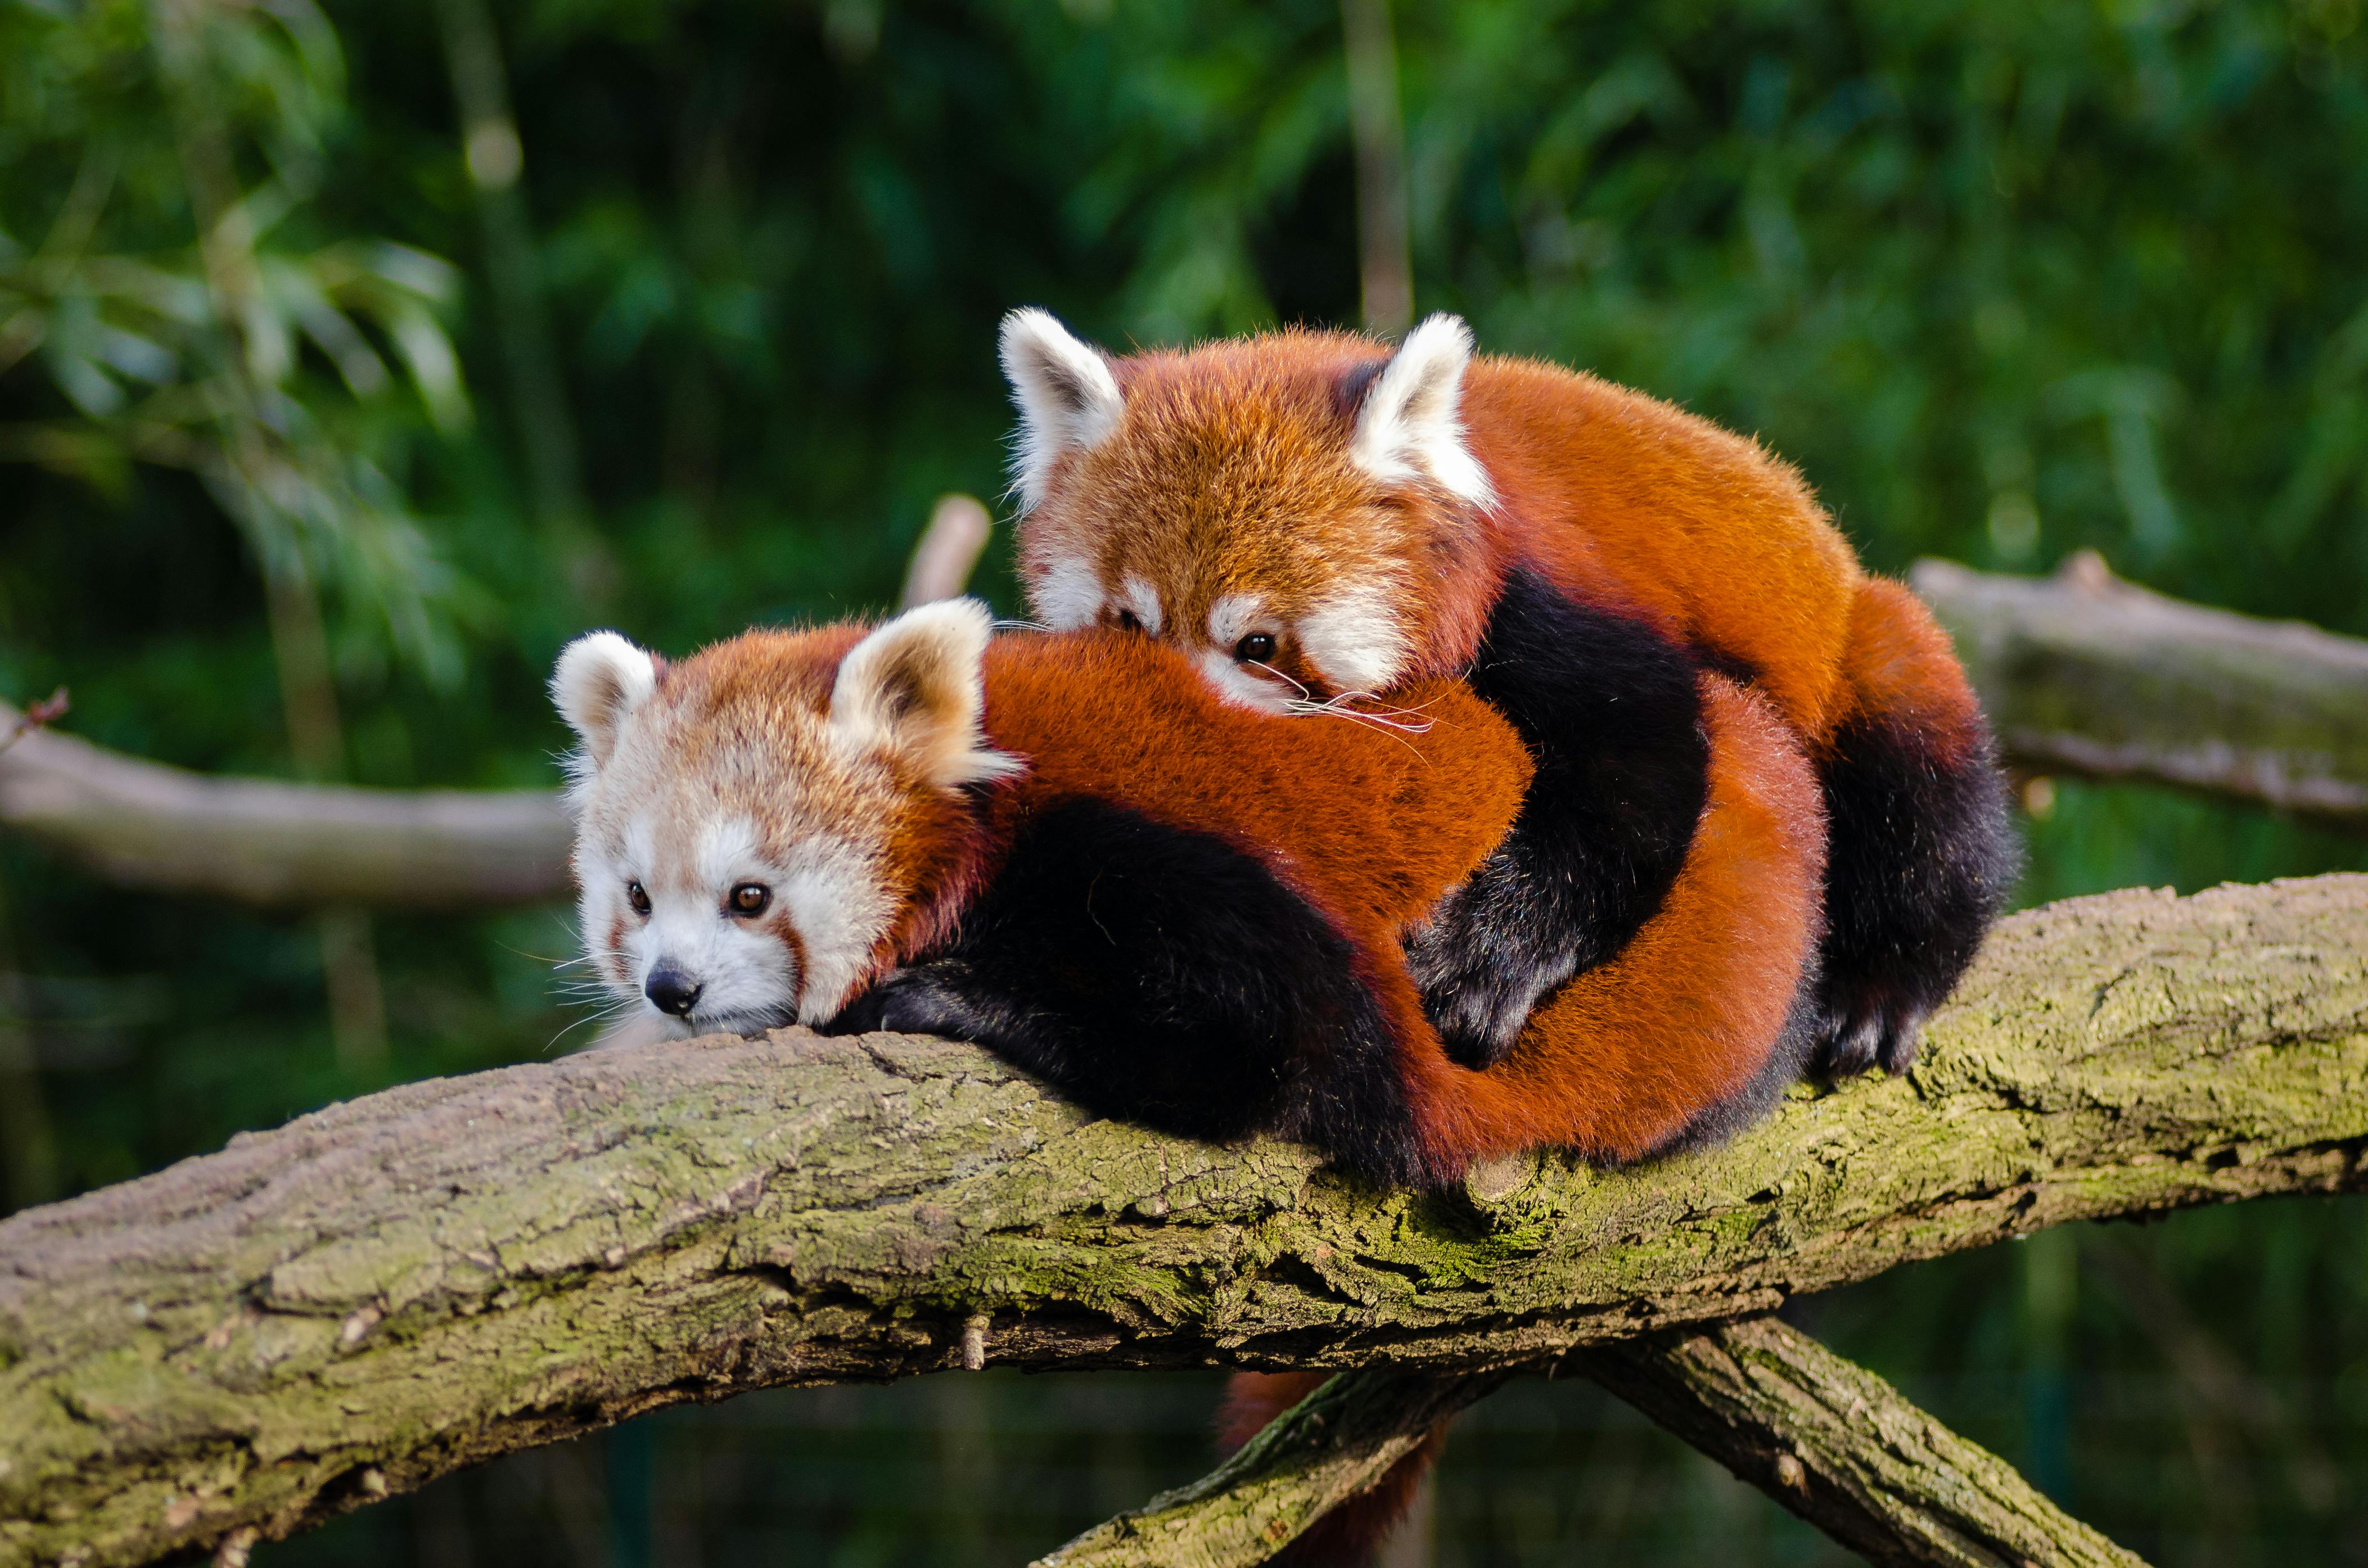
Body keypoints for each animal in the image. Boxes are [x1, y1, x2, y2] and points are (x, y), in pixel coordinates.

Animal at [999, 313, 2017, 1089]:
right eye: (1129, 625)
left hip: (1866, 649)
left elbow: (1629, 780)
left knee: (1922, 774)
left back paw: (1882, 990)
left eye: (1257, 643)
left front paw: (1483, 967)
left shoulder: (1546, 600)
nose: (1179, 727)